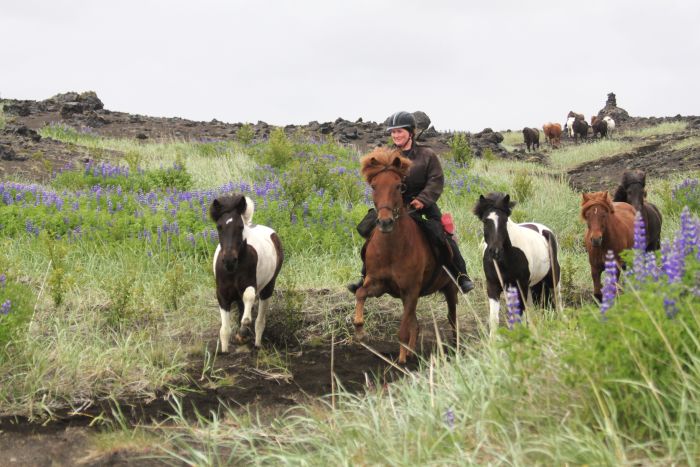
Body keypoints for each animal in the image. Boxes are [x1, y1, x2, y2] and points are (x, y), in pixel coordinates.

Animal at [209, 194, 284, 352]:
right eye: (219, 227)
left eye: (240, 227)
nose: (229, 260)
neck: (234, 270)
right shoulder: (222, 294)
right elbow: (224, 330)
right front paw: (225, 350)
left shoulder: (251, 285)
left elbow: (248, 302)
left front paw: (242, 332)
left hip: (268, 287)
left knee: (260, 320)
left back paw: (256, 343)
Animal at [350, 148, 460, 364]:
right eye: (374, 186)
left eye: (398, 186)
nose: (385, 222)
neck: (391, 249)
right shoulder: (379, 285)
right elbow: (360, 293)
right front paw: (359, 329)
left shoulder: (411, 290)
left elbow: (402, 330)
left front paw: (401, 362)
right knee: (415, 324)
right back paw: (411, 352)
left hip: (450, 288)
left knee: (452, 320)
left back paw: (455, 349)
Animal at [474, 192, 560, 338]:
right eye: (485, 221)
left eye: (504, 221)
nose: (495, 251)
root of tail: (544, 230)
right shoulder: (493, 285)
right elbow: (494, 319)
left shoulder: (521, 285)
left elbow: (519, 316)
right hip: (526, 288)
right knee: (531, 313)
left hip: (551, 279)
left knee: (558, 303)